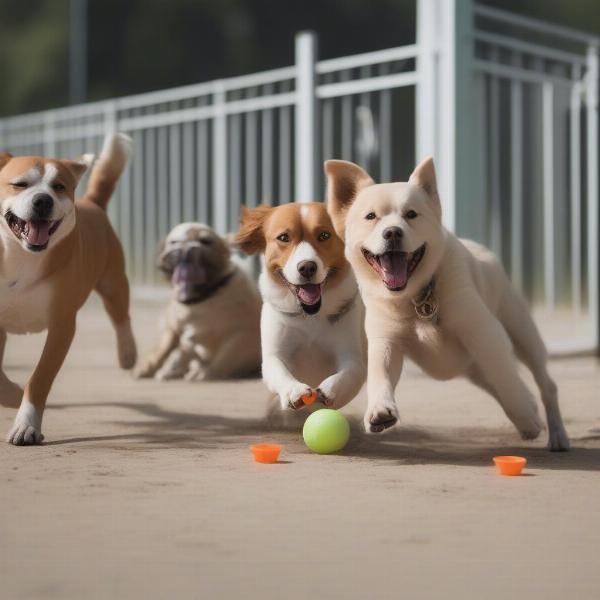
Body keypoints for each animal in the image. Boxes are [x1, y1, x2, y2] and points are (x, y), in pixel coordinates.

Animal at [0, 135, 137, 446]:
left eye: (59, 186)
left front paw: (26, 424)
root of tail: (92, 202)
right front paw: (13, 396)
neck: (23, 257)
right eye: (20, 184)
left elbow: (40, 377)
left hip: (113, 281)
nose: (43, 200)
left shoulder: (62, 325)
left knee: (121, 315)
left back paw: (128, 352)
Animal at [136, 223, 262, 382]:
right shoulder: (173, 328)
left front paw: (207, 372)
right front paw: (149, 366)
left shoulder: (242, 334)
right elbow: (164, 347)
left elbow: (225, 356)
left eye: (206, 241)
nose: (187, 247)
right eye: (173, 242)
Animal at [238, 204, 366, 410]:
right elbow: (278, 370)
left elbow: (351, 373)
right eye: (284, 237)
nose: (307, 267)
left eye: (324, 235)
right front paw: (294, 391)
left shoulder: (350, 353)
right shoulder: (275, 354)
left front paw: (330, 390)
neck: (309, 315)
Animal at [326, 157, 568, 452]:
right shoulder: (386, 340)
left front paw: (527, 416)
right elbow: (379, 374)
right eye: (371, 217)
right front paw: (380, 410)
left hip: (522, 334)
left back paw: (554, 432)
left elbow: (504, 377)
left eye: (411, 214)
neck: (415, 297)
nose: (392, 232)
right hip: (475, 369)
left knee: (543, 383)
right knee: (498, 384)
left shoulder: (484, 333)